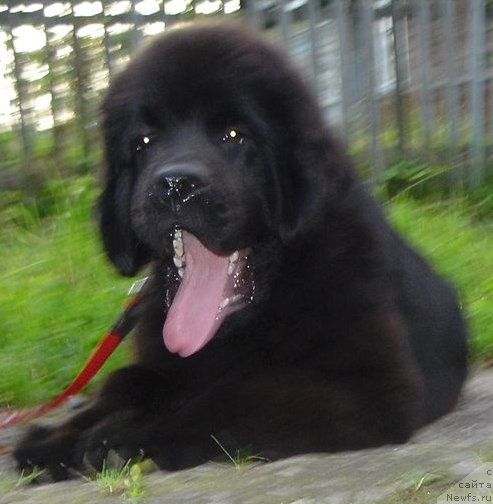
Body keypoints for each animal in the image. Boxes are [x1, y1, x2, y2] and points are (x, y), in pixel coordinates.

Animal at [14, 19, 466, 476]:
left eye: (234, 134)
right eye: (144, 141)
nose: (175, 184)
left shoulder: (369, 386)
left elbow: (229, 397)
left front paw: (126, 436)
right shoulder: (162, 363)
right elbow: (124, 383)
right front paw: (56, 436)